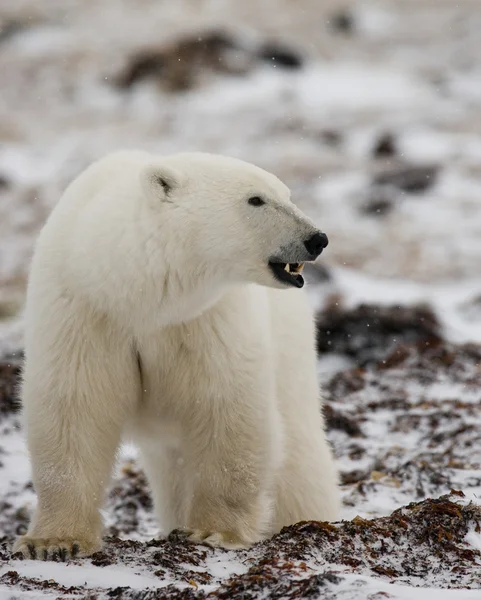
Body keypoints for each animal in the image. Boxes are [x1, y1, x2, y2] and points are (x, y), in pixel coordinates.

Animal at [13, 149, 340, 556]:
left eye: (287, 194)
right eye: (256, 199)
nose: (317, 239)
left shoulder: (206, 318)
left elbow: (228, 408)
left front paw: (213, 531)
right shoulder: (83, 311)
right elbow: (75, 407)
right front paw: (54, 540)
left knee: (298, 456)